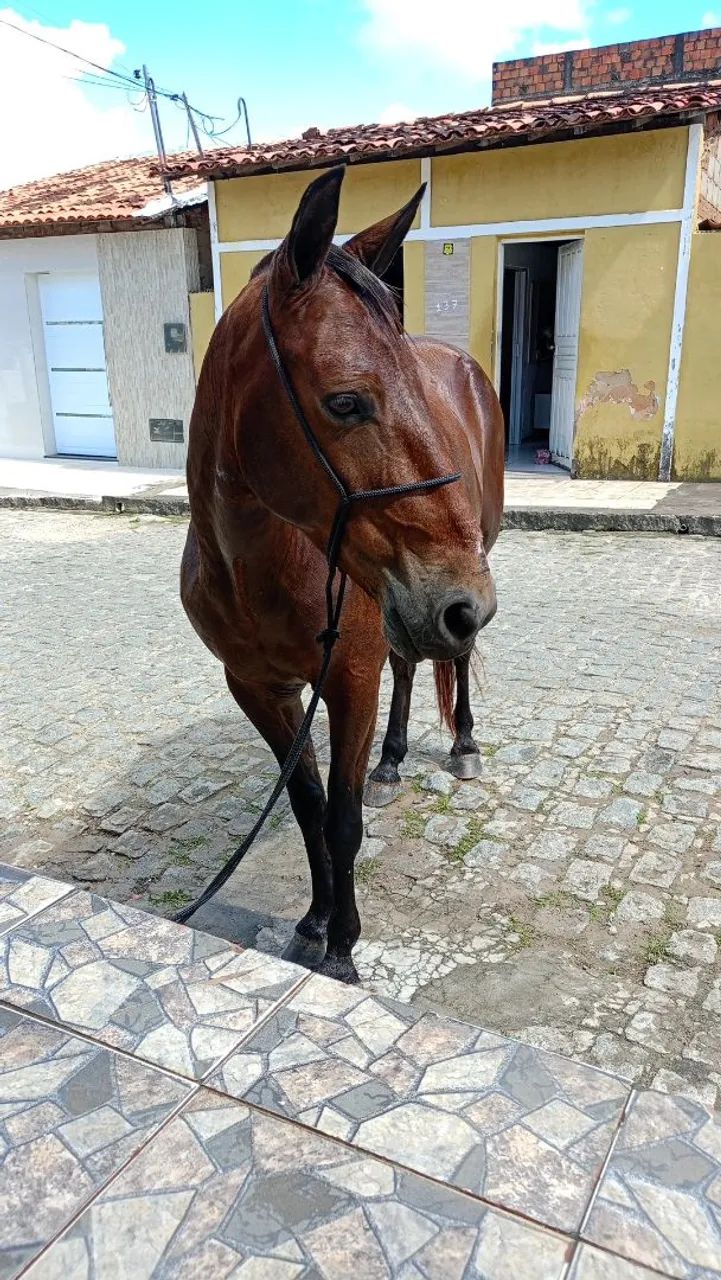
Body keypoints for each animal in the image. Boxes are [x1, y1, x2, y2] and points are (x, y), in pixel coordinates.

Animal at [180, 165, 504, 984]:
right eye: (347, 400)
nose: (462, 602)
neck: (257, 569)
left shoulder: (349, 680)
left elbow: (343, 819)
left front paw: (344, 949)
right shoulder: (259, 689)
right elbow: (306, 807)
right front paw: (313, 922)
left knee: (452, 661)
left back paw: (462, 745)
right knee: (411, 661)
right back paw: (393, 758)